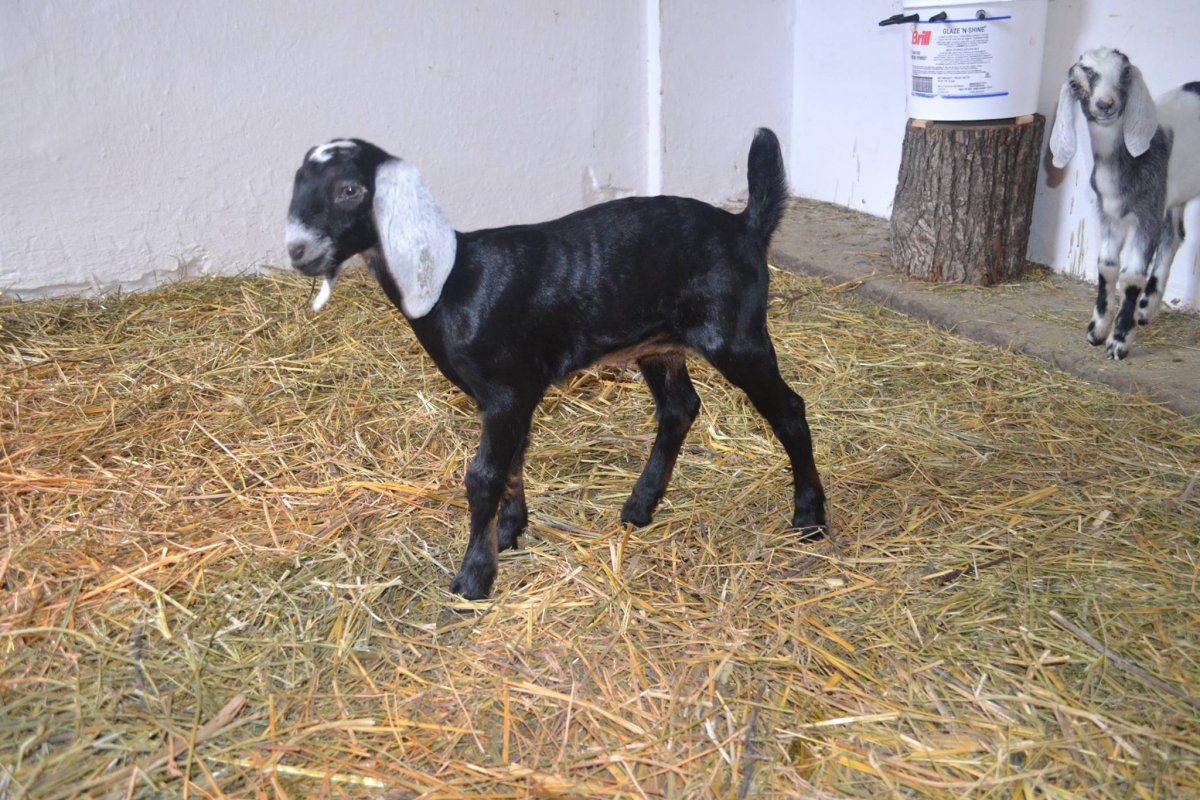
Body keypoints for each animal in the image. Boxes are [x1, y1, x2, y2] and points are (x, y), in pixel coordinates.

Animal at [284, 129, 827, 599]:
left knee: (789, 409)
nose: (298, 251)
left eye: (350, 190)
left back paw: (810, 518)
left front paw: (473, 577)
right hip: (658, 342)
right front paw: (508, 531)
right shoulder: (513, 395)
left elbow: (484, 474)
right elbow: (512, 462)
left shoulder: (506, 392)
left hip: (736, 334)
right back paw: (640, 505)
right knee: (680, 408)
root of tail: (746, 226)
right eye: (298, 183)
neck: (456, 281)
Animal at [1049, 47, 1200, 360]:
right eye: (1077, 82)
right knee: (1175, 235)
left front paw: (1118, 340)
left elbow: (1131, 276)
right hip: (1173, 196)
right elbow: (1107, 266)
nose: (1105, 104)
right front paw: (1096, 330)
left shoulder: (1148, 214)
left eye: (1126, 73)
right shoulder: (1109, 214)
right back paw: (1146, 308)